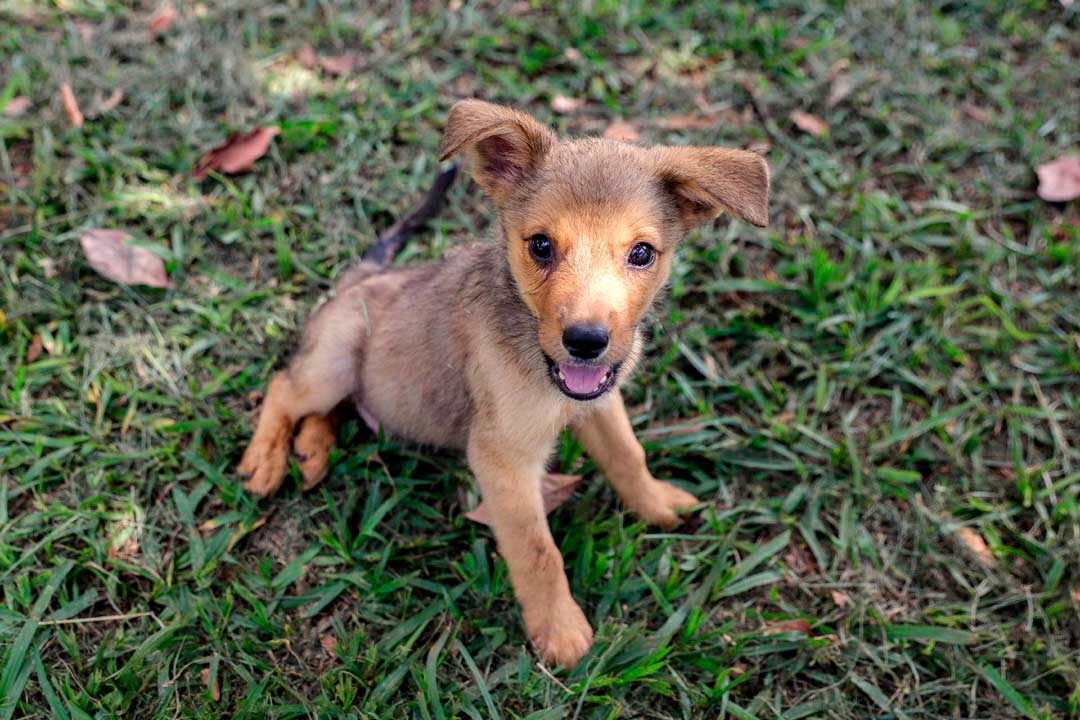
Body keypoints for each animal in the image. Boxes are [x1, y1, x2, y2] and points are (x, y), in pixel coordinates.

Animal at [240, 101, 773, 669]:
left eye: (642, 254)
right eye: (540, 245)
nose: (586, 342)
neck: (538, 363)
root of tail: (356, 281)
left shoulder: (599, 402)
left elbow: (629, 456)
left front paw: (656, 505)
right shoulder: (502, 458)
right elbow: (537, 550)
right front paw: (559, 629)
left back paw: (312, 449)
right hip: (336, 358)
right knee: (285, 385)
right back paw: (265, 460)